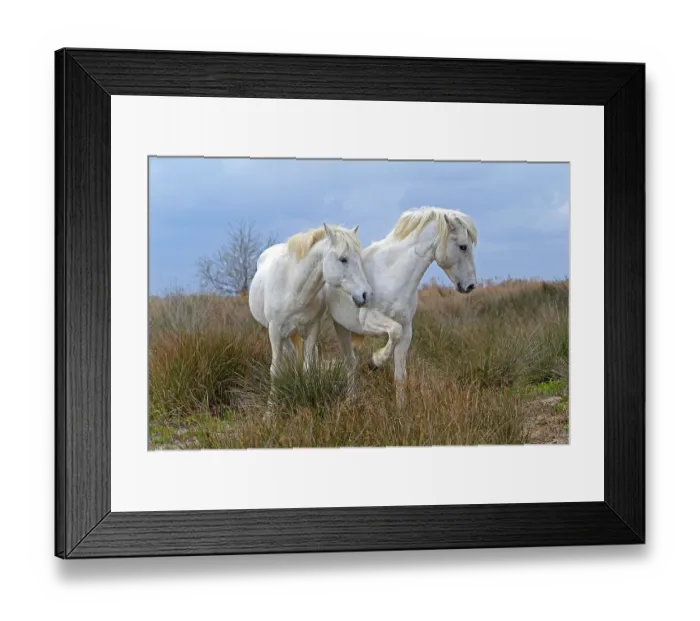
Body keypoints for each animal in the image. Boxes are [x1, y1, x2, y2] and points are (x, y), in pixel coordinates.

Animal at [248, 223, 372, 409]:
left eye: (359, 259)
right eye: (343, 259)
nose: (365, 295)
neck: (293, 288)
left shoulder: (313, 329)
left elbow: (308, 367)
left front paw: (307, 397)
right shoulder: (275, 331)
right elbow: (275, 371)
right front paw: (270, 410)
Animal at [323, 206, 478, 405]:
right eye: (463, 246)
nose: (471, 285)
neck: (392, 275)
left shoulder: (406, 332)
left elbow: (400, 375)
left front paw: (401, 408)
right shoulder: (370, 320)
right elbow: (393, 331)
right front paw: (375, 361)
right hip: (341, 328)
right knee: (350, 362)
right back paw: (352, 399)